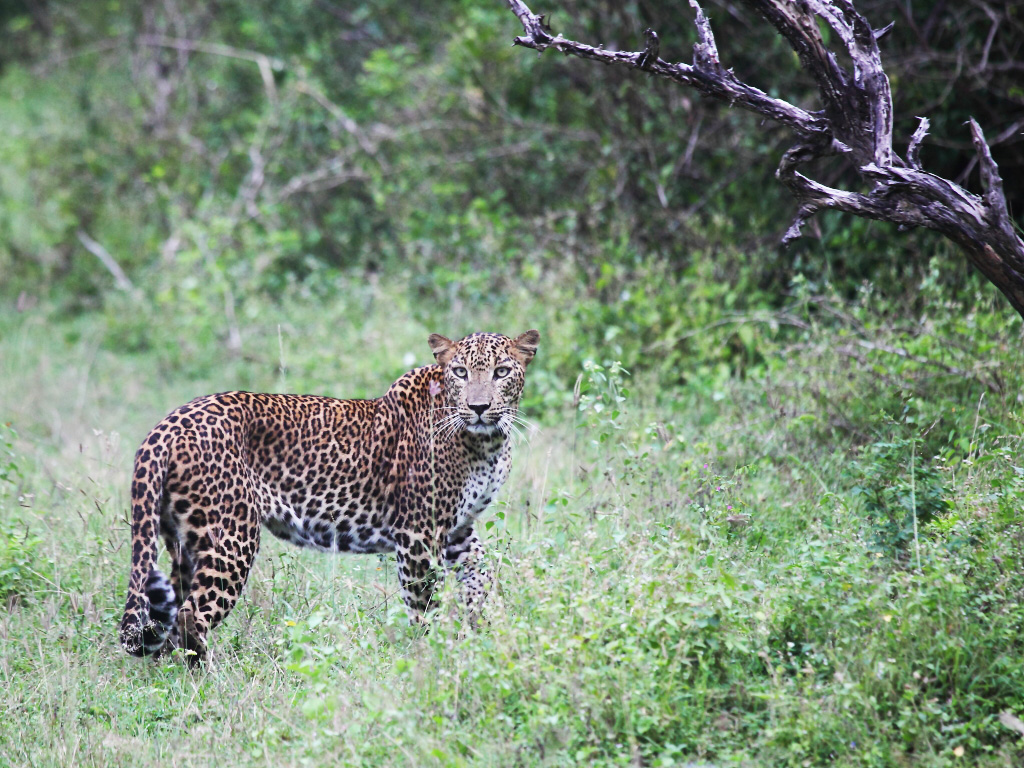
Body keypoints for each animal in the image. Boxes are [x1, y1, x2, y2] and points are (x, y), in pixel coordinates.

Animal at [119, 327, 540, 663]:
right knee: (191, 613)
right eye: (460, 372)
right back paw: (210, 678)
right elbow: (424, 605)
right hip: (231, 535)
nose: (479, 407)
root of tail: (167, 425)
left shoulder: (457, 531)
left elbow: (482, 577)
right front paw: (433, 653)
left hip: (184, 539)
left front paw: (488, 630)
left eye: (502, 372)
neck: (486, 443)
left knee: (172, 608)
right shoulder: (419, 534)